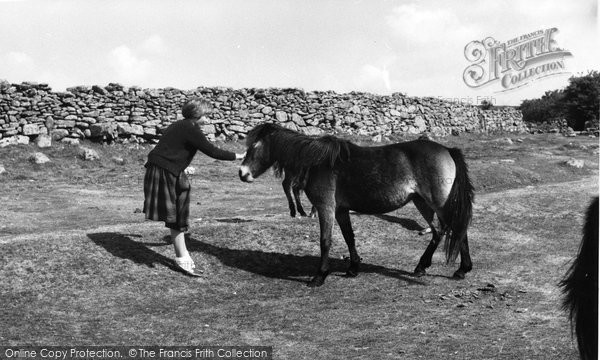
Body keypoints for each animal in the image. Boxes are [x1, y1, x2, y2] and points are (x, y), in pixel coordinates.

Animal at [239, 124, 474, 286]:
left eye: (255, 146)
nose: (242, 173)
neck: (317, 161)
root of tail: (447, 150)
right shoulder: (341, 211)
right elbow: (349, 237)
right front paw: (353, 268)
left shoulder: (326, 208)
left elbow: (325, 241)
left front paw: (319, 276)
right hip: (422, 202)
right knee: (439, 231)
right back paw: (423, 267)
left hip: (438, 203)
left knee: (456, 229)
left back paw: (461, 270)